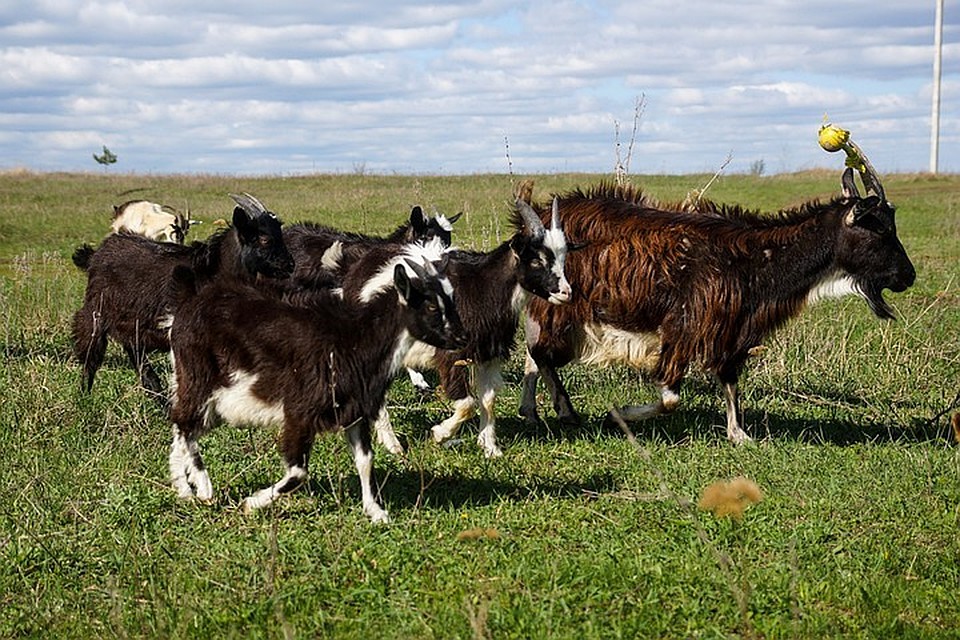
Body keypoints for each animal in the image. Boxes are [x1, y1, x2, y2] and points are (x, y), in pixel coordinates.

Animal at [71, 192, 292, 398]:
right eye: (264, 238)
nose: (290, 265)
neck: (212, 270)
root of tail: (96, 254)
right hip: (96, 315)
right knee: (91, 356)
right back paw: (84, 397)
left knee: (140, 363)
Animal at [165, 238, 464, 524]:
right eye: (430, 304)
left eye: (451, 298)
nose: (461, 338)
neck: (356, 340)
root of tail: (188, 302)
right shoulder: (299, 412)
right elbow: (298, 472)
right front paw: (252, 503)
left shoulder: (354, 412)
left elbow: (365, 460)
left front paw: (375, 512)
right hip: (197, 378)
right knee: (184, 423)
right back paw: (203, 487)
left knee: (184, 428)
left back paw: (184, 488)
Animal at [374, 198, 572, 458]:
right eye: (537, 259)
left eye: (563, 257)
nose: (566, 293)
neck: (484, 289)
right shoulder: (451, 356)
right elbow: (467, 403)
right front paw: (440, 434)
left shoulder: (488, 354)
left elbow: (488, 400)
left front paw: (490, 448)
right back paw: (392, 444)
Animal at [516, 168, 916, 442]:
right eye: (880, 230)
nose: (908, 276)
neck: (756, 259)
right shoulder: (684, 325)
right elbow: (670, 398)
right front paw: (618, 415)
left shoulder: (732, 330)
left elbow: (730, 381)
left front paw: (739, 434)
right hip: (560, 304)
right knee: (540, 351)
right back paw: (563, 410)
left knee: (535, 353)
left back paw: (533, 412)